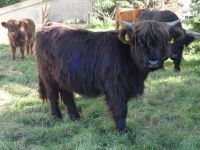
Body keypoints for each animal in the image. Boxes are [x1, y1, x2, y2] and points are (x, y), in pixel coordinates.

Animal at [35, 19, 183, 132]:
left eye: (163, 41)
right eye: (140, 41)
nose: (153, 61)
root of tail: (48, 25)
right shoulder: (114, 87)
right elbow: (120, 109)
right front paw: (123, 132)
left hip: (64, 76)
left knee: (67, 95)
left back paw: (75, 117)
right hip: (48, 76)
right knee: (53, 95)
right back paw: (56, 117)